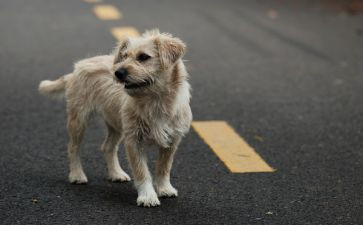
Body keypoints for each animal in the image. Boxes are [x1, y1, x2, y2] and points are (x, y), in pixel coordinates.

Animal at [38, 29, 193, 207]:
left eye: (143, 57)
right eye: (124, 56)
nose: (118, 73)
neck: (155, 101)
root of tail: (77, 68)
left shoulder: (172, 141)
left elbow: (164, 168)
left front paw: (164, 188)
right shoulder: (134, 141)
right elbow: (142, 171)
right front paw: (147, 196)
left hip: (116, 125)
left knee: (107, 147)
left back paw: (116, 173)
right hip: (79, 120)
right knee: (73, 147)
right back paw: (77, 175)